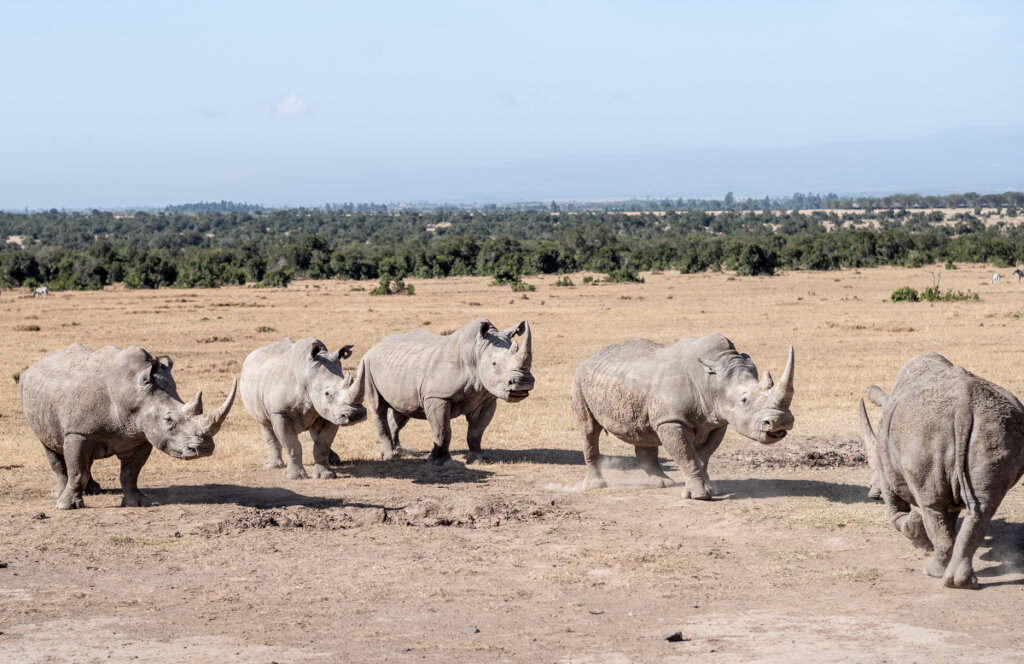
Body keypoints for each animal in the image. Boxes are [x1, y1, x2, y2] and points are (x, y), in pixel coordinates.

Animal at [19, 344, 236, 509]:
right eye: (168, 420)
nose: (205, 448)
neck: (133, 391)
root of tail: (35, 365)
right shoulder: (78, 431)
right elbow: (77, 470)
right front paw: (67, 506)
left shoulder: (142, 435)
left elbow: (130, 473)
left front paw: (137, 503)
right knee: (51, 446)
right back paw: (58, 494)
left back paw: (93, 490)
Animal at [240, 337, 366, 479]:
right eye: (327, 394)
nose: (355, 415)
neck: (307, 376)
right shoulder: (280, 412)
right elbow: (292, 445)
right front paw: (294, 477)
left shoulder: (331, 414)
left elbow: (323, 444)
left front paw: (325, 475)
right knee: (265, 424)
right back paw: (272, 466)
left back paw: (335, 461)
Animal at [351, 318, 534, 465]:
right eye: (495, 364)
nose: (523, 383)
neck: (475, 353)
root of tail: (375, 346)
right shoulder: (437, 396)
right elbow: (443, 430)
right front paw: (441, 462)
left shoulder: (487, 399)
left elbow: (476, 432)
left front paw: (477, 460)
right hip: (367, 364)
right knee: (378, 408)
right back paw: (390, 456)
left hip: (401, 368)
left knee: (403, 409)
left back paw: (399, 452)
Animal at [571, 333, 794, 499]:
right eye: (744, 400)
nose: (780, 422)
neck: (711, 379)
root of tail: (591, 356)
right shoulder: (672, 419)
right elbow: (686, 455)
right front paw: (699, 496)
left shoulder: (717, 421)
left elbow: (702, 456)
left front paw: (709, 489)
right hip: (580, 378)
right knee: (589, 430)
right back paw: (596, 486)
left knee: (644, 430)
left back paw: (662, 483)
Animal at [859, 353, 1024, 588]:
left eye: (872, 464)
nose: (872, 494)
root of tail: (965, 405)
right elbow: (950, 516)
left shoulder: (886, 473)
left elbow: (898, 514)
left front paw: (917, 537)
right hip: (996, 427)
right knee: (983, 506)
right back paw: (961, 582)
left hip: (923, 433)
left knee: (931, 505)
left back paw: (933, 573)